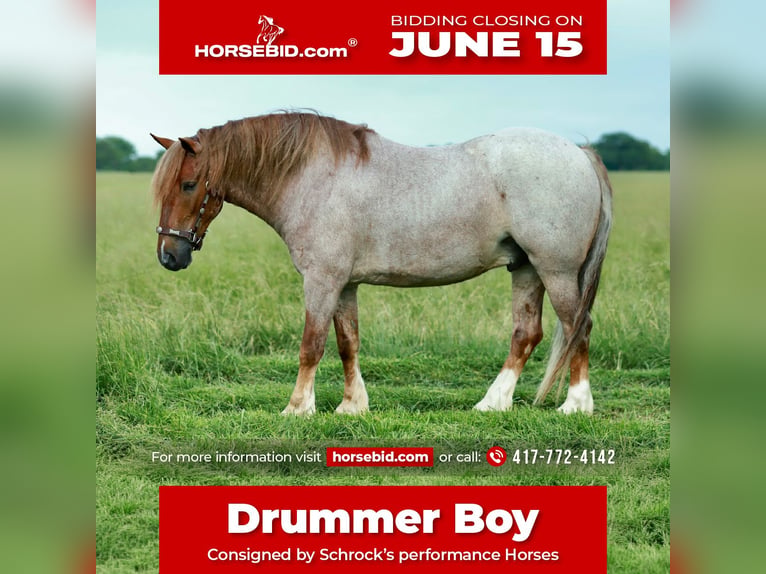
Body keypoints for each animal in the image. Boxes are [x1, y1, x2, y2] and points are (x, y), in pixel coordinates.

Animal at [150, 112, 612, 416]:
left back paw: (577, 404)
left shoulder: (321, 281)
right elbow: (346, 343)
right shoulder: (344, 285)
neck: (312, 177)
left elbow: (310, 345)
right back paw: (493, 403)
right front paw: (352, 406)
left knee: (579, 326)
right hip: (526, 269)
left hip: (556, 271)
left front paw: (297, 408)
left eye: (189, 184)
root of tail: (579, 153)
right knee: (526, 334)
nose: (169, 256)